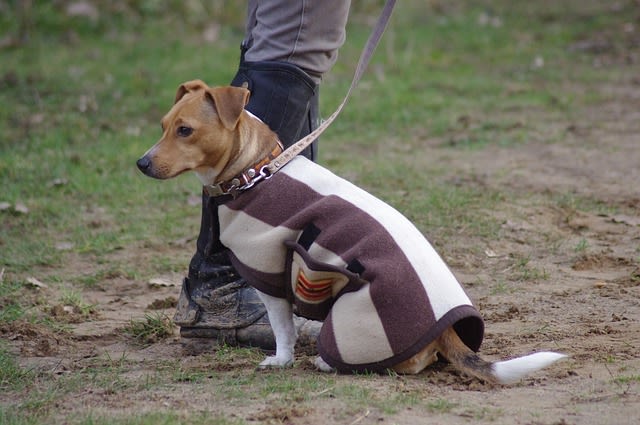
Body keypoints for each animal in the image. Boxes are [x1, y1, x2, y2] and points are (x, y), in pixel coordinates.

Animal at [136, 80, 564, 384]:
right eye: (163, 127)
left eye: (186, 130)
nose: (141, 163)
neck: (255, 171)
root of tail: (445, 333)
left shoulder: (270, 276)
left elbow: (282, 330)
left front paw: (281, 360)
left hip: (353, 319)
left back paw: (327, 362)